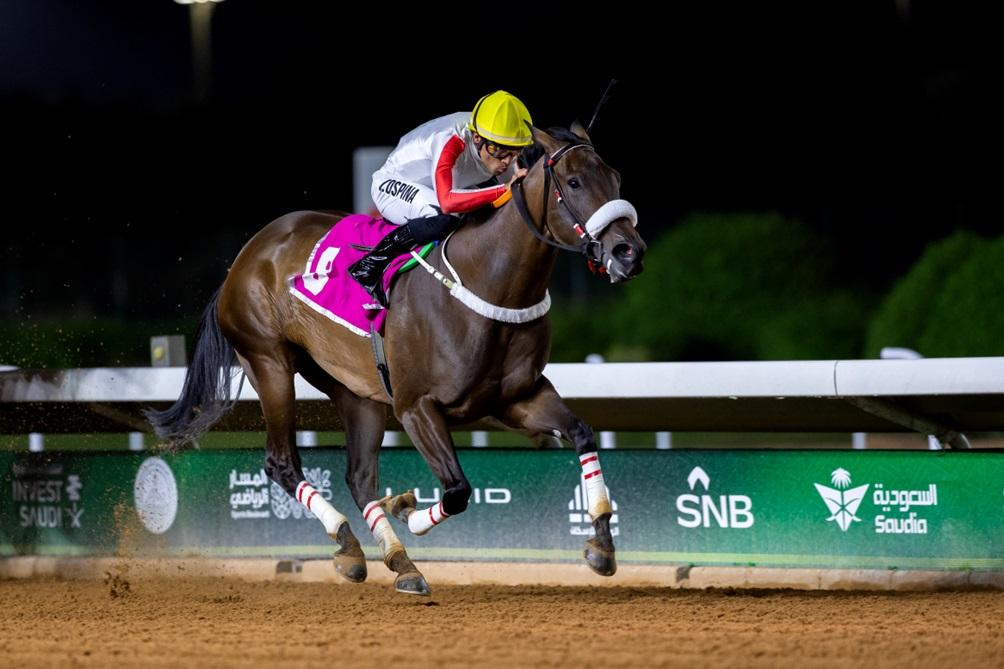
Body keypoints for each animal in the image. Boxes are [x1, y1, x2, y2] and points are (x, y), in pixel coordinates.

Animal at [147, 123, 646, 595]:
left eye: (616, 177)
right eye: (575, 182)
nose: (630, 253)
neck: (489, 279)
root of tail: (245, 256)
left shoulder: (516, 398)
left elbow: (581, 433)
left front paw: (602, 544)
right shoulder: (416, 406)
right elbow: (458, 490)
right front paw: (406, 507)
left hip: (355, 390)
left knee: (358, 477)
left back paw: (391, 559)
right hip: (269, 362)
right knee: (282, 462)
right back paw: (350, 538)